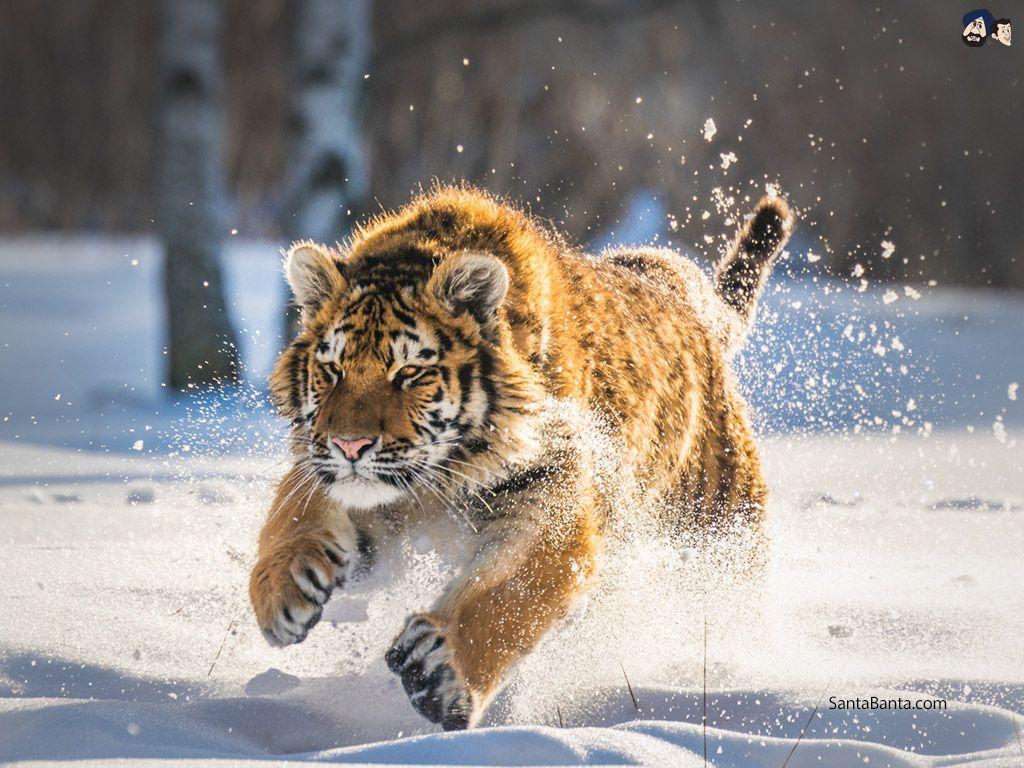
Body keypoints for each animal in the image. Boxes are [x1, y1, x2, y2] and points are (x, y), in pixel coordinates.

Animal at [248, 184, 793, 730]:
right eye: (332, 369)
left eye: (409, 373)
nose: (350, 445)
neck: (437, 479)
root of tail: (687, 297)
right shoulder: (338, 475)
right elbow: (292, 512)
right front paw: (280, 592)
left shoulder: (552, 498)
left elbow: (509, 595)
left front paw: (440, 672)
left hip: (721, 534)